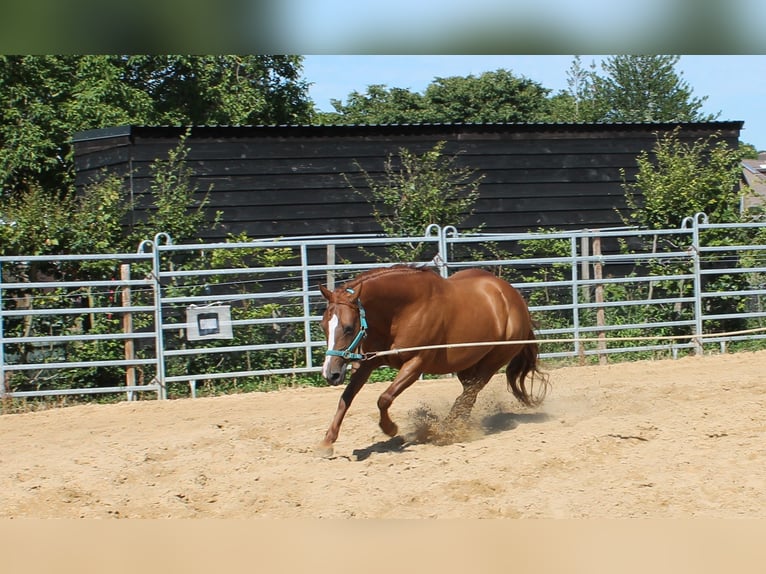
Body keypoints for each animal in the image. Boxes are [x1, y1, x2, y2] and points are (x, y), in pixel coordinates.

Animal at [317, 264, 549, 456]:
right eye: (323, 326)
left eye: (348, 328)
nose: (331, 374)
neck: (403, 311)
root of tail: (514, 298)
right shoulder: (368, 363)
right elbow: (346, 398)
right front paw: (327, 442)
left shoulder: (415, 364)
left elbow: (384, 398)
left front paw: (391, 429)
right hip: (466, 365)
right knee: (468, 396)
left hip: (492, 362)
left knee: (469, 395)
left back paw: (446, 431)